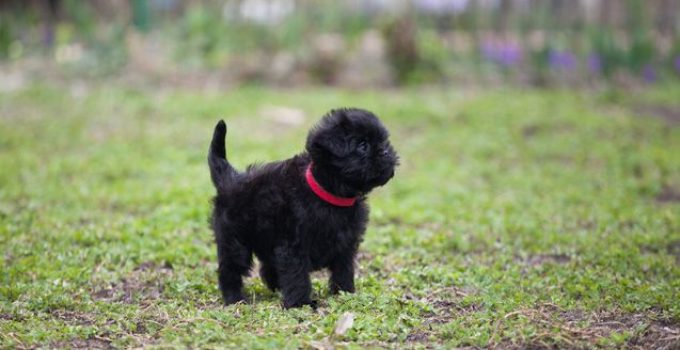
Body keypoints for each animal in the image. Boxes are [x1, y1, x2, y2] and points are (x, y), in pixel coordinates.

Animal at [207, 108, 398, 308]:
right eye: (363, 145)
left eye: (383, 141)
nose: (386, 151)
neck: (329, 194)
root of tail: (229, 178)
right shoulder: (293, 246)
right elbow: (297, 275)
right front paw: (300, 303)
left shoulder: (346, 243)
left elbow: (343, 269)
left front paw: (345, 293)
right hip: (235, 241)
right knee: (230, 269)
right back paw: (234, 298)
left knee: (267, 267)